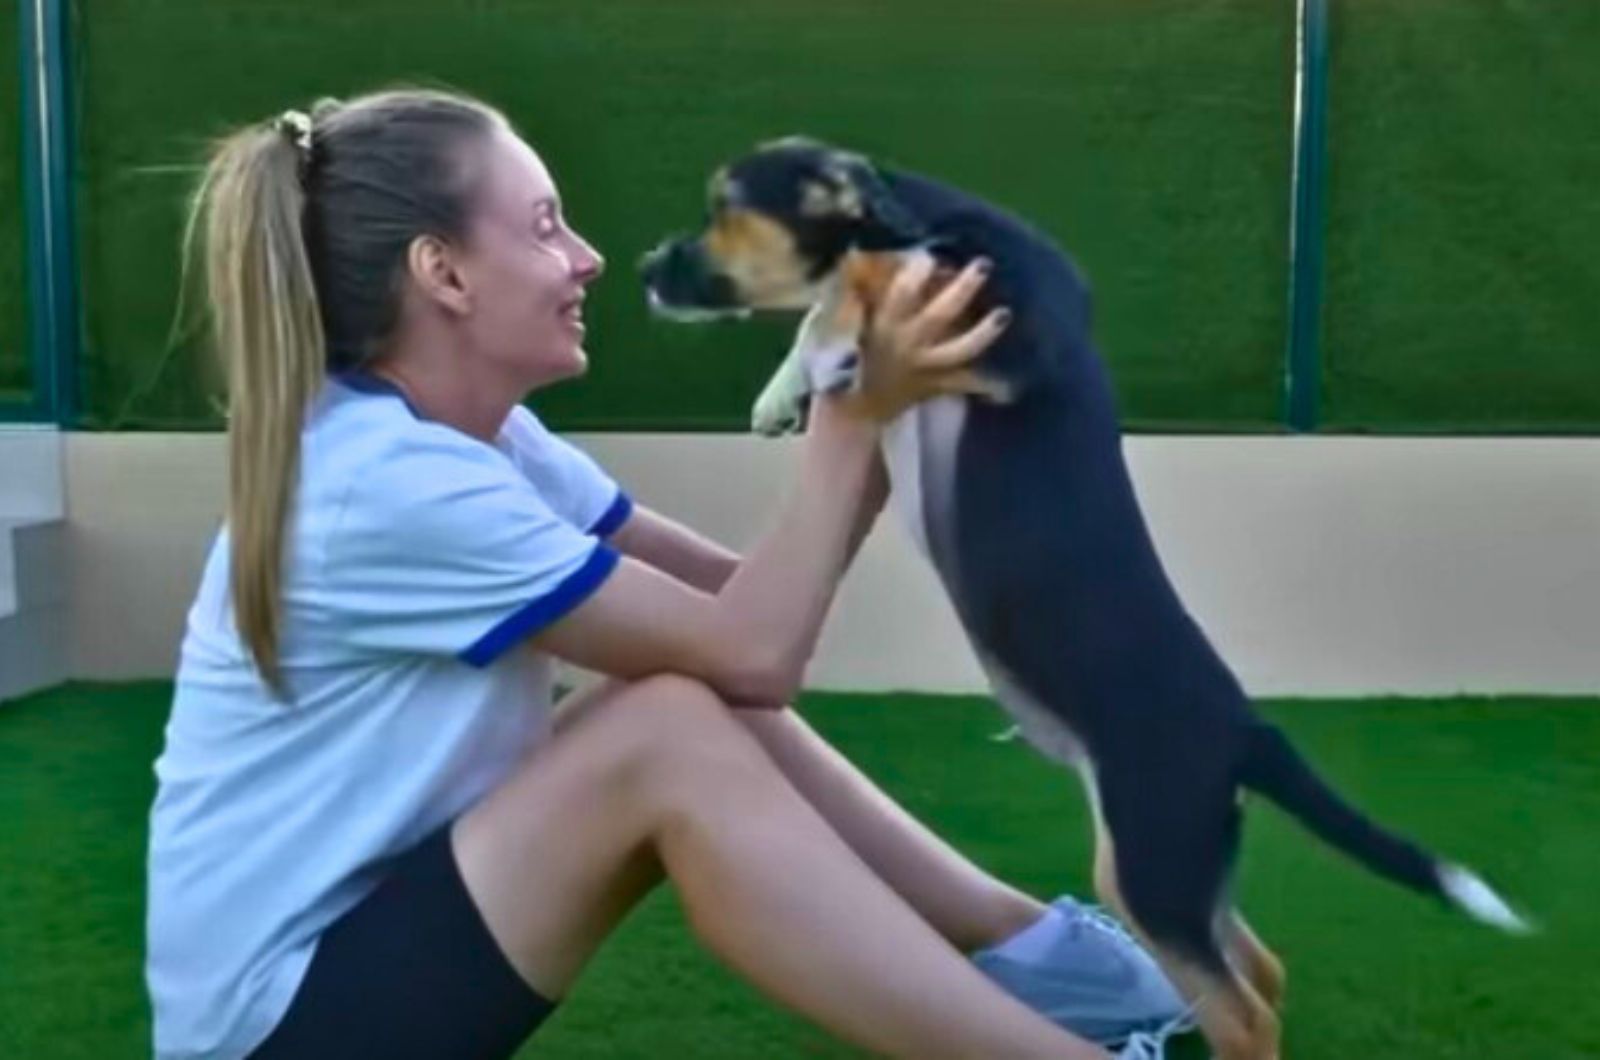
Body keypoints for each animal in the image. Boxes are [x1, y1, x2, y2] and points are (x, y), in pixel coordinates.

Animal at [636, 140, 1523, 1060]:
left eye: (725, 206)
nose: (644, 270)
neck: (927, 215)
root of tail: (1245, 727)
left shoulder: (1008, 334)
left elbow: (877, 273)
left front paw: (829, 343)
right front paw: (786, 389)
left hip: (1151, 856)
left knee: (1248, 1012)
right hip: (1176, 863)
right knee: (1260, 970)